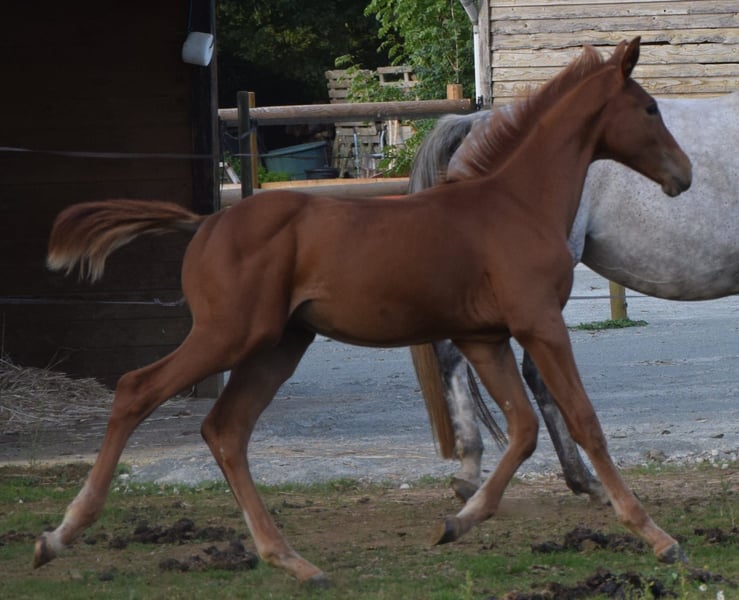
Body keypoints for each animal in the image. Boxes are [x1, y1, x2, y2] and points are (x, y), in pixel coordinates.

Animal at [35, 39, 692, 584]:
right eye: (650, 109)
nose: (683, 175)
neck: (516, 204)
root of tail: (206, 223)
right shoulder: (540, 323)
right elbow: (584, 420)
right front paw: (657, 536)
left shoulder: (485, 336)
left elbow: (525, 428)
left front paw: (458, 522)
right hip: (229, 334)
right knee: (137, 389)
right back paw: (59, 535)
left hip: (280, 345)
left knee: (225, 429)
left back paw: (292, 561)